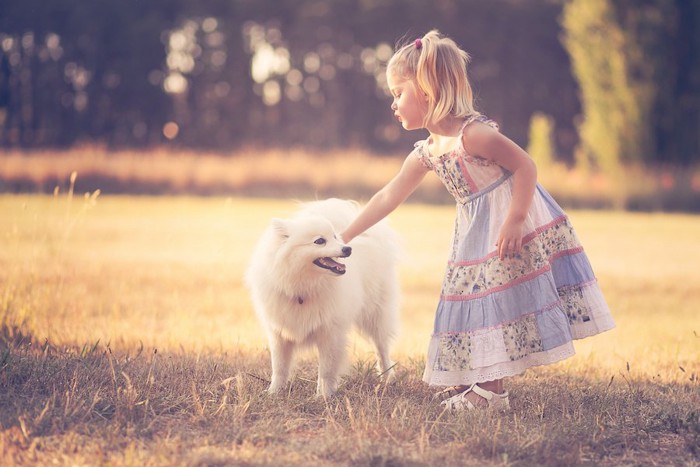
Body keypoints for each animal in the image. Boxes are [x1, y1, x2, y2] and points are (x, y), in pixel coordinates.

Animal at [245, 198, 400, 398]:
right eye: (319, 241)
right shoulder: (279, 332)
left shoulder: (330, 332)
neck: (302, 287)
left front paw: (323, 396)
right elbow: (279, 367)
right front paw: (273, 392)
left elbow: (326, 369)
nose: (347, 248)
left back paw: (387, 376)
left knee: (382, 348)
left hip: (376, 315)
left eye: (334, 237)